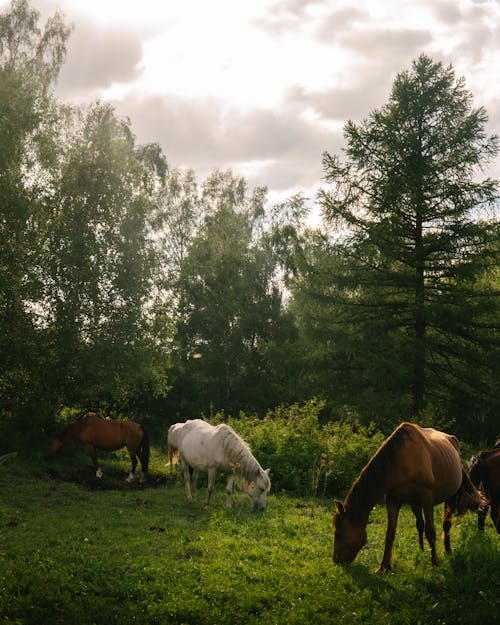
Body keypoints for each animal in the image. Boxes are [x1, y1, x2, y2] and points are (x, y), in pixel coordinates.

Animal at [332, 420, 480, 572]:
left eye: (338, 533)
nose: (336, 560)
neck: (401, 461)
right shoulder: (392, 500)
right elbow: (390, 533)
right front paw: (384, 566)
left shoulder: (427, 498)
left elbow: (431, 532)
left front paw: (435, 562)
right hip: (415, 503)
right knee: (420, 524)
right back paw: (421, 550)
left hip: (450, 497)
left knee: (446, 524)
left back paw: (447, 550)